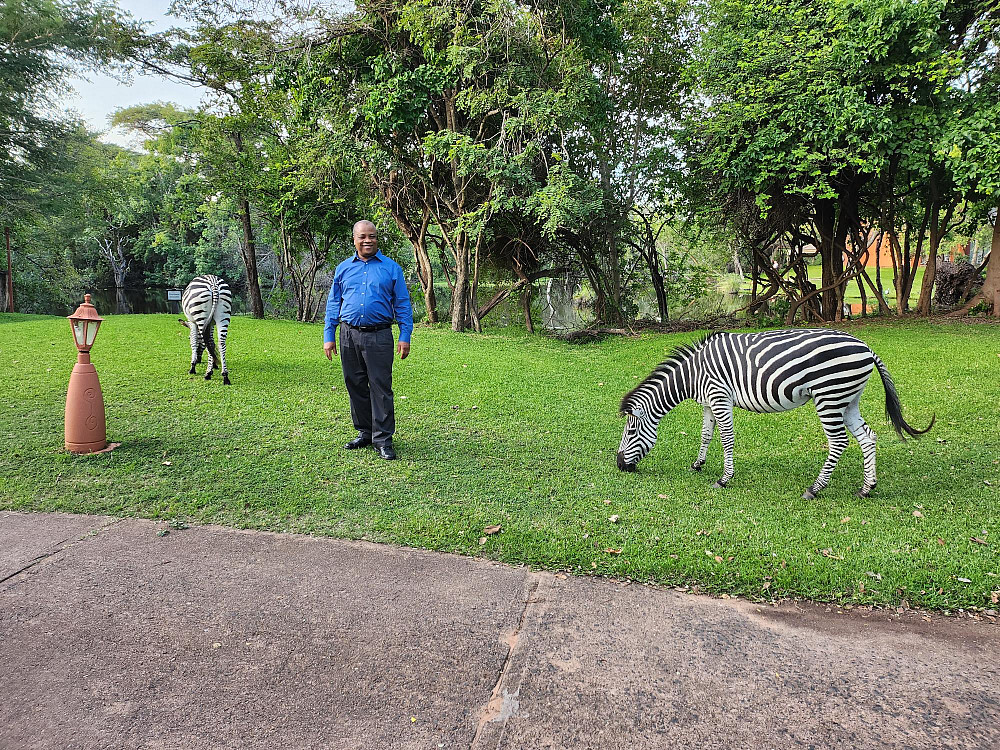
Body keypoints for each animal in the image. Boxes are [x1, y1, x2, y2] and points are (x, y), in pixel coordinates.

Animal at [617, 329, 933, 498]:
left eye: (630, 431)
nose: (620, 465)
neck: (692, 376)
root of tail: (866, 347)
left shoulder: (719, 396)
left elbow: (727, 439)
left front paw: (724, 479)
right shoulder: (708, 401)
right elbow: (706, 434)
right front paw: (698, 464)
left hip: (829, 396)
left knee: (839, 442)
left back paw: (815, 488)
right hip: (849, 398)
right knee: (867, 437)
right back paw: (867, 488)